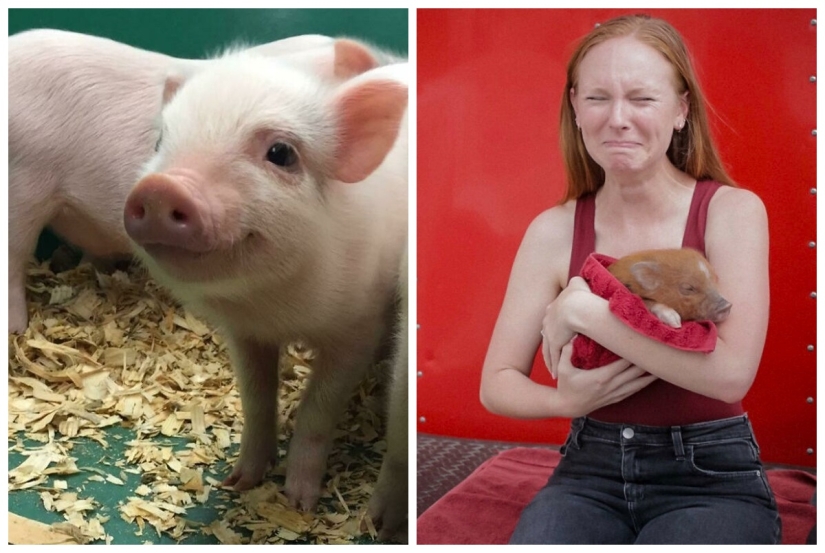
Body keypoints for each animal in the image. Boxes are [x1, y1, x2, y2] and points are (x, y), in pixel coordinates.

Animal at [122, 50, 409, 520]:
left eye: (281, 153)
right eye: (160, 141)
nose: (162, 187)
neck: (274, 307)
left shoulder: (359, 328)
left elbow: (317, 410)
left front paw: (300, 503)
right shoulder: (244, 334)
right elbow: (256, 399)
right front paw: (237, 481)